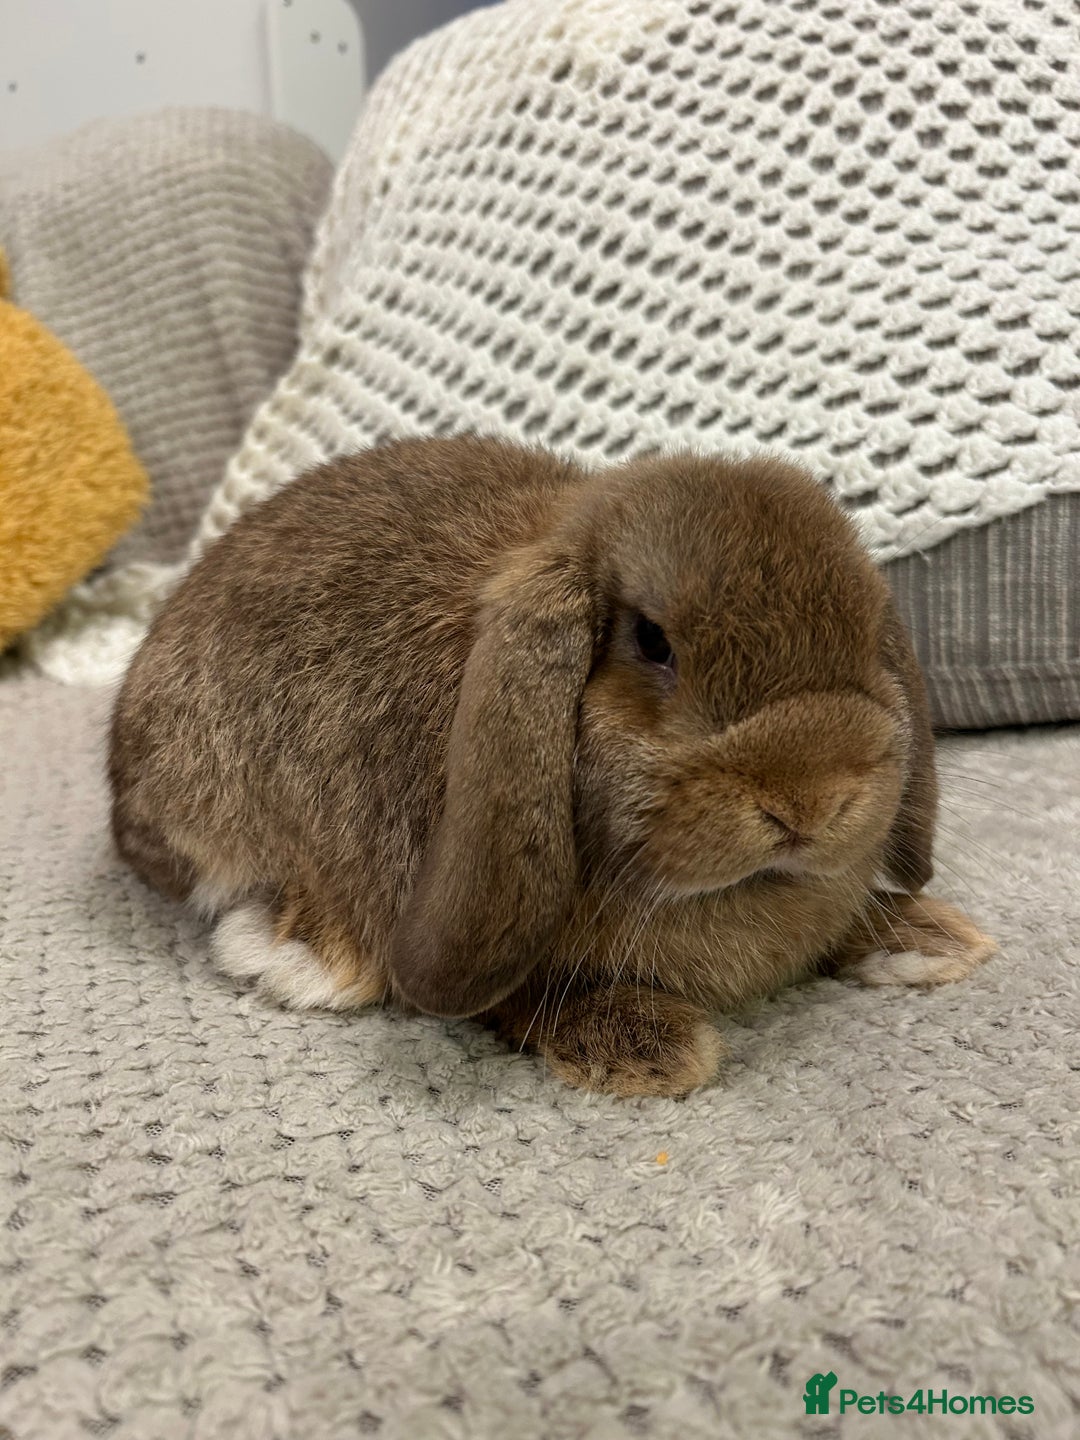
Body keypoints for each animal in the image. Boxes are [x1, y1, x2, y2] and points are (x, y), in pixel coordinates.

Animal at [109, 436, 995, 1097]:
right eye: (652, 642)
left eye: (872, 632)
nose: (810, 800)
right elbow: (510, 1002)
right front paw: (650, 1046)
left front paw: (927, 940)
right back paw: (298, 952)